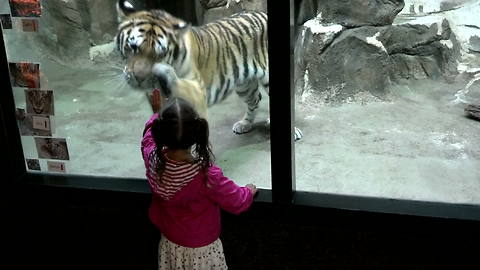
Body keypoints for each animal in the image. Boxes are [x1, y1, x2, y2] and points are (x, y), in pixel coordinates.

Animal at [114, 0, 302, 139]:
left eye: (159, 54)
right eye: (133, 47)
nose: (139, 78)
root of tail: (262, 13)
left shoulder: (197, 91)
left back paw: (293, 132)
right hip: (244, 85)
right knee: (255, 99)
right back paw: (245, 124)